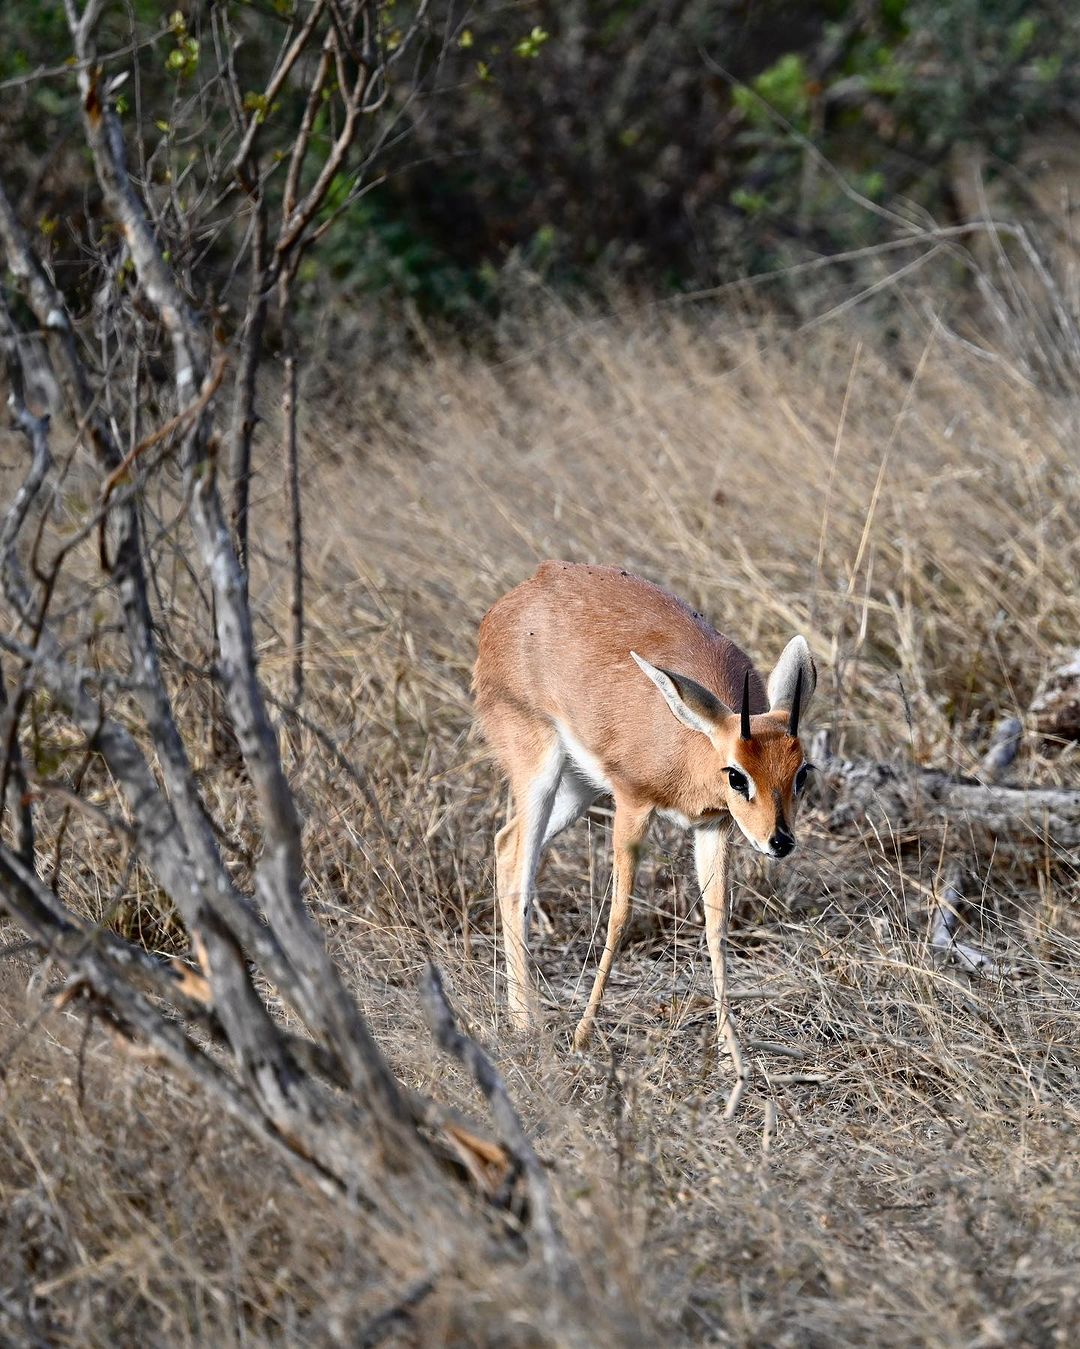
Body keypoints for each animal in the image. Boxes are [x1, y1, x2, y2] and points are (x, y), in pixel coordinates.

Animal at [471, 561, 819, 1116]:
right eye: (737, 775)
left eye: (801, 772)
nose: (779, 842)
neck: (686, 745)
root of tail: (519, 595)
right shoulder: (632, 804)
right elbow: (618, 916)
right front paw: (582, 1039)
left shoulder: (713, 828)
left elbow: (717, 928)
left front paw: (734, 1064)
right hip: (540, 769)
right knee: (520, 869)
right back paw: (533, 1028)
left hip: (574, 789)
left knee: (506, 845)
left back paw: (521, 1020)